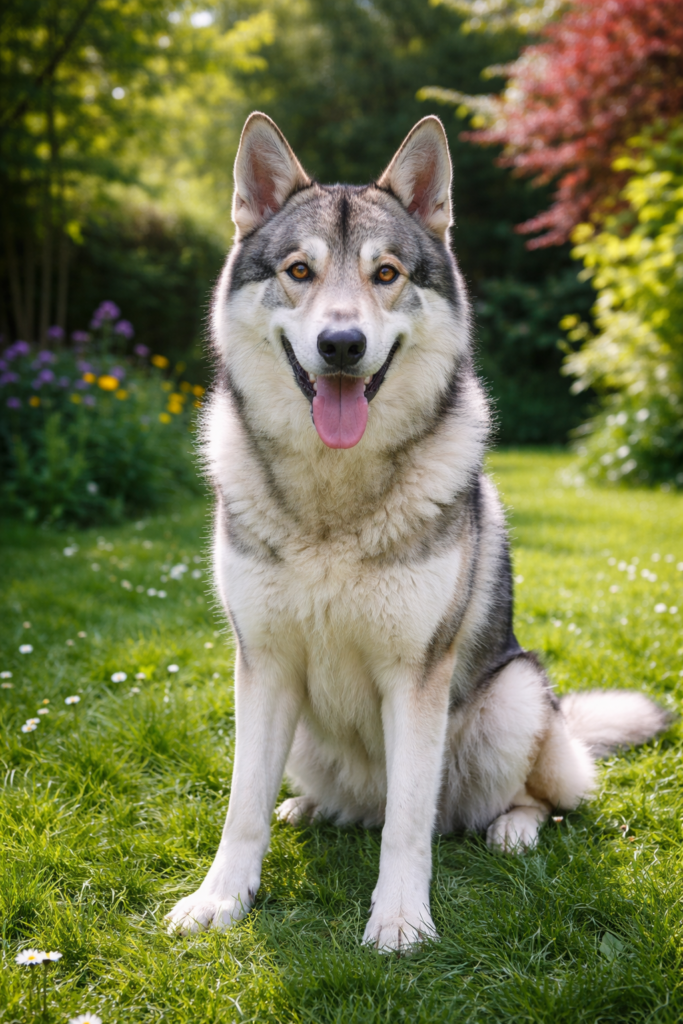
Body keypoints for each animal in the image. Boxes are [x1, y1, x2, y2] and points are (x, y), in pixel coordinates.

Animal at [165, 112, 669, 951]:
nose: (341, 345)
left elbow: (408, 822)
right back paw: (308, 806)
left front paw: (399, 919)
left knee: (522, 801)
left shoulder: (415, 677)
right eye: (299, 271)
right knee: (346, 802)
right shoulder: (262, 666)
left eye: (387, 274)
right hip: (307, 733)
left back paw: (510, 829)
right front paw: (221, 899)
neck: (334, 501)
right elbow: (239, 807)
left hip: (516, 697)